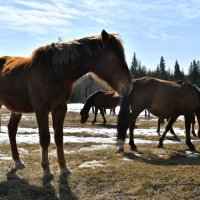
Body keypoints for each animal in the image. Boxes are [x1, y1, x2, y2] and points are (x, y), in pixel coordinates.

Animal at [0, 30, 132, 180]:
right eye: (116, 56)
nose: (129, 86)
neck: (55, 73)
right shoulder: (41, 109)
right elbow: (45, 138)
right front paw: (46, 170)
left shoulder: (60, 108)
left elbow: (59, 138)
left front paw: (63, 168)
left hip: (16, 110)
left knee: (12, 130)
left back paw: (18, 161)